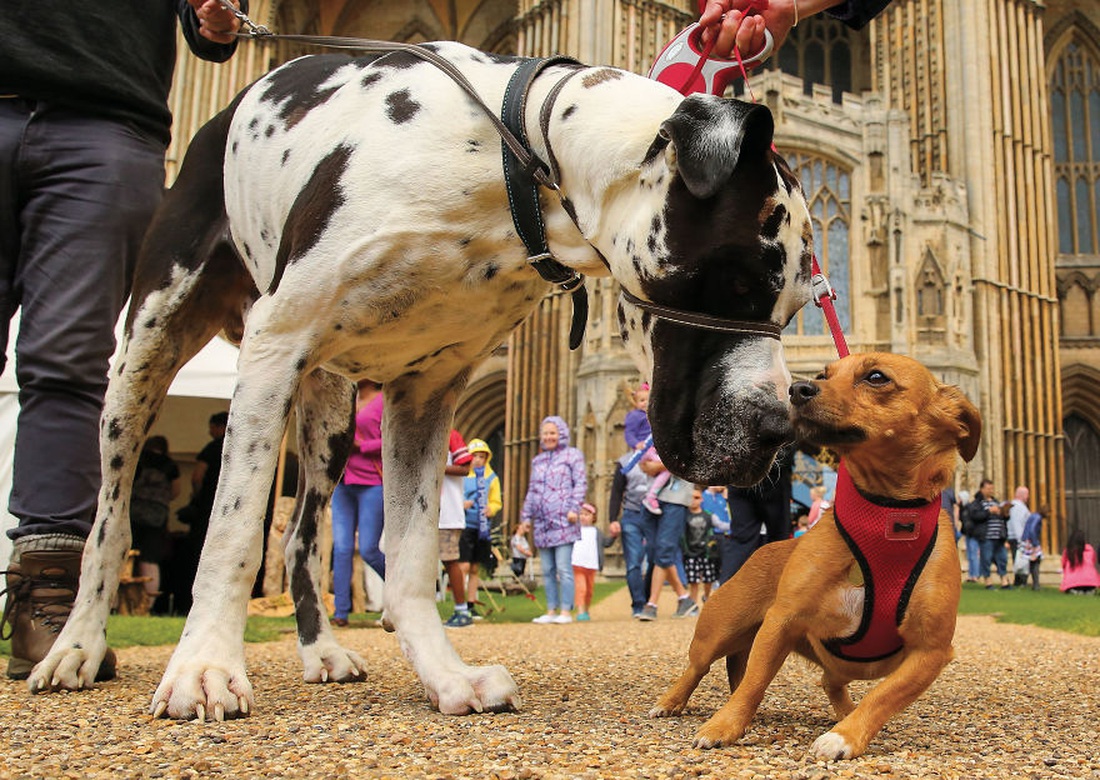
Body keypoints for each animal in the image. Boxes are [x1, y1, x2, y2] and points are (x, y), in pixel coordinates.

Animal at [30, 44, 814, 717]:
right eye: (740, 279)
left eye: (797, 304)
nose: (784, 428)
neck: (514, 165)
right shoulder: (273, 351)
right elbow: (231, 531)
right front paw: (203, 669)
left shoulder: (424, 394)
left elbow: (408, 559)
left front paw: (444, 677)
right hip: (145, 359)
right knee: (109, 519)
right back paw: (77, 647)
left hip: (328, 422)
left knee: (304, 539)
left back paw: (320, 650)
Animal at [642, 356, 981, 756]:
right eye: (824, 374)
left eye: (876, 377)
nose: (797, 388)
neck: (884, 519)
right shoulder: (781, 621)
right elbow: (754, 683)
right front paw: (725, 725)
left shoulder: (931, 651)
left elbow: (884, 696)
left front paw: (846, 735)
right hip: (719, 632)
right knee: (698, 669)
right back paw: (670, 702)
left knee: (830, 683)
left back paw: (844, 713)